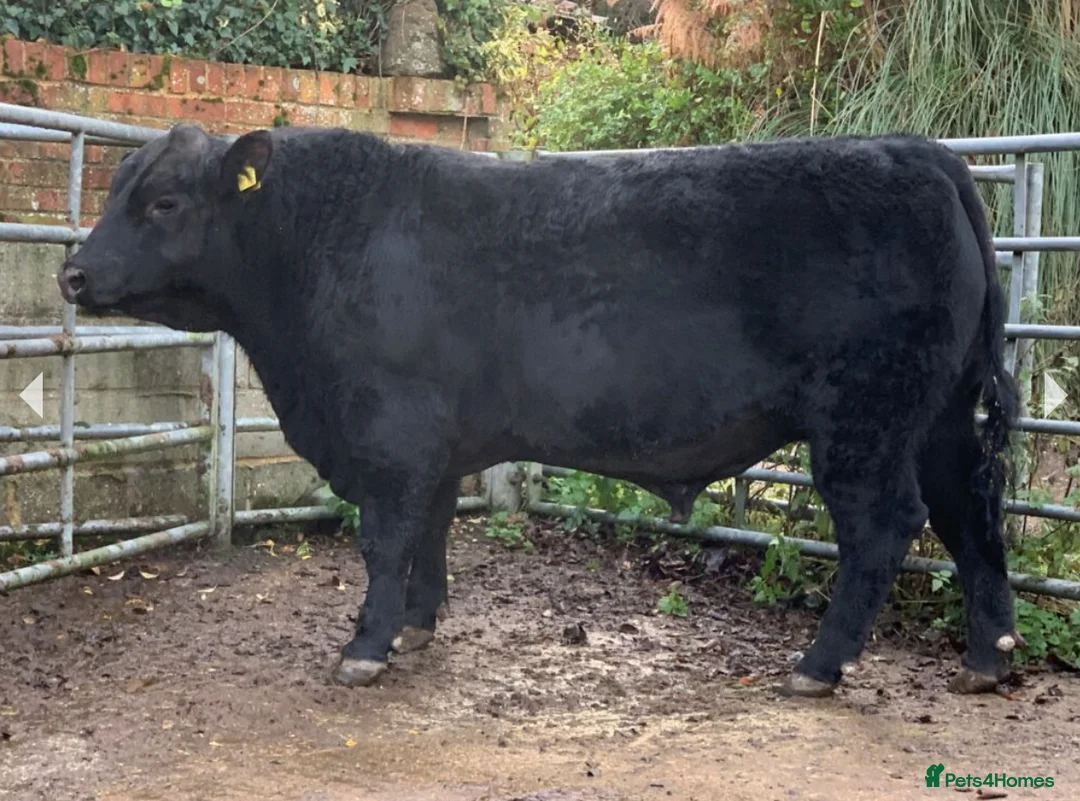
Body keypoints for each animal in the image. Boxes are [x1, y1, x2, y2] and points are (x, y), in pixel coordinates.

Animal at [57, 123, 1021, 698]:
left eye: (163, 201)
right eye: (115, 191)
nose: (71, 273)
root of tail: (917, 150)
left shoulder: (391, 433)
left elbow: (385, 539)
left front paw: (366, 646)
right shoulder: (435, 445)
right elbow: (432, 532)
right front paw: (418, 625)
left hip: (863, 420)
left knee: (884, 527)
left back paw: (819, 665)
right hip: (937, 416)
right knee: (972, 515)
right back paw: (990, 657)